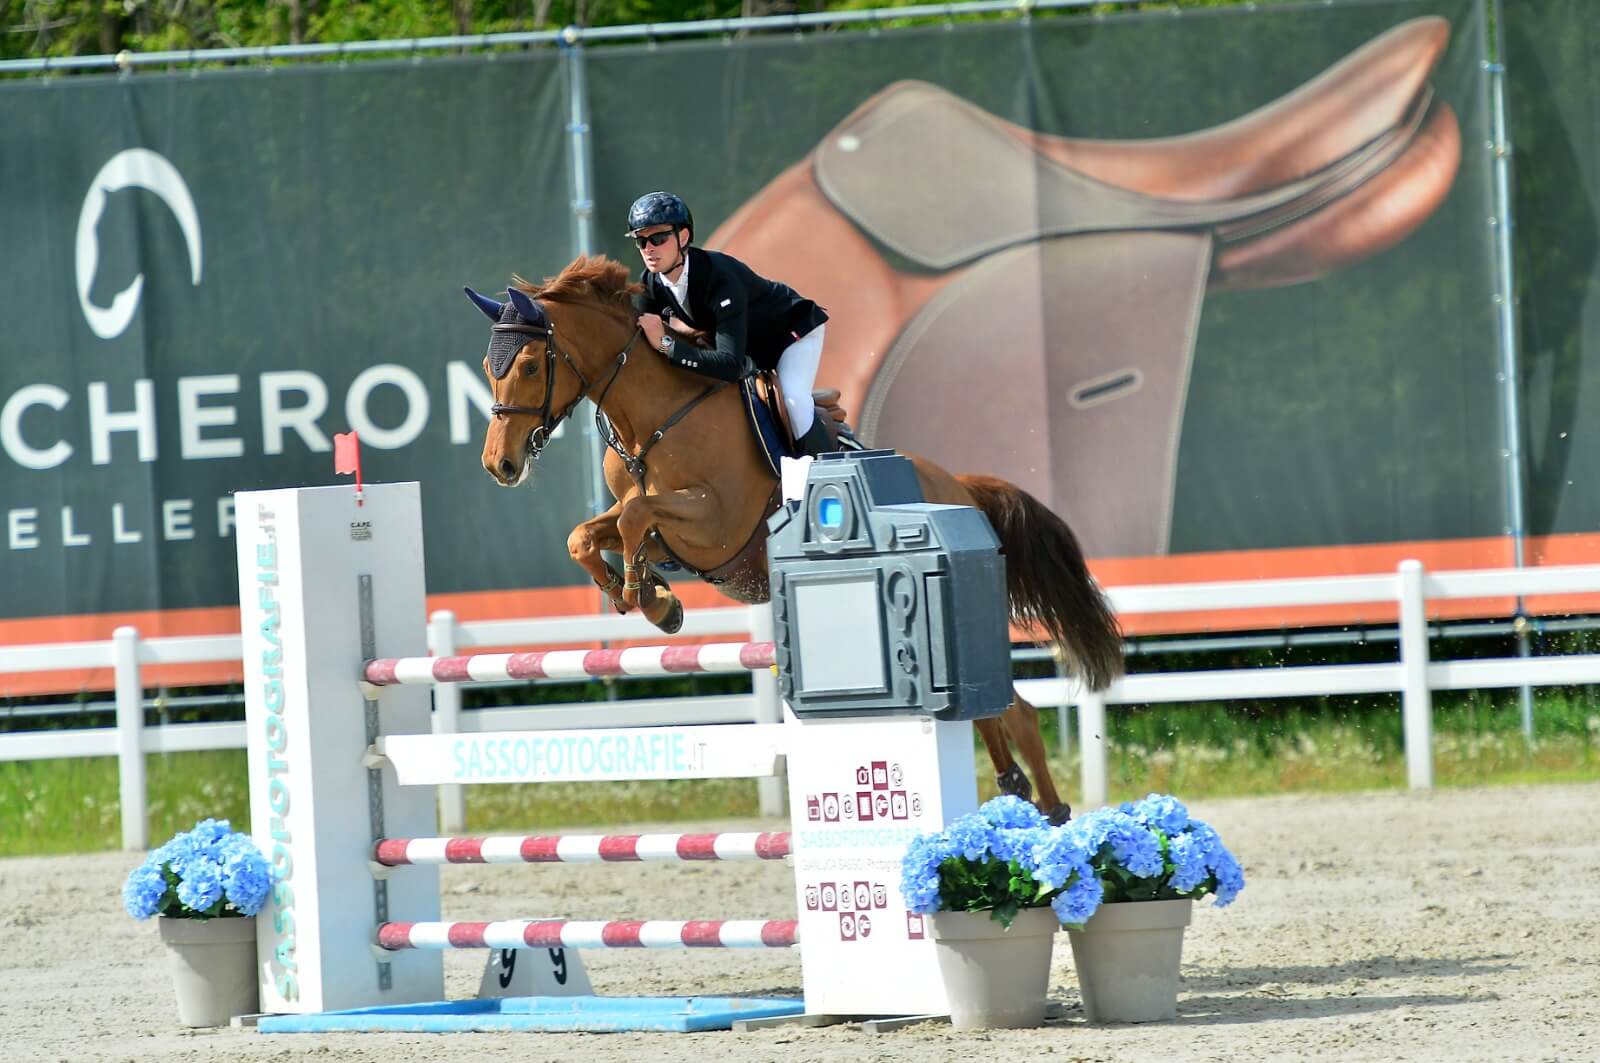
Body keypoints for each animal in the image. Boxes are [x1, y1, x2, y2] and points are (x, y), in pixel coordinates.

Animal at [467, 257, 1120, 819]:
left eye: (529, 366)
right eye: (488, 368)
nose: (500, 465)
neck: (653, 416)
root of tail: (958, 487)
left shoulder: (715, 523)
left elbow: (633, 522)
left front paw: (647, 597)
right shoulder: (660, 523)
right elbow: (588, 535)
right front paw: (652, 596)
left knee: (1018, 714)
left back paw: (1051, 815)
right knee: (994, 717)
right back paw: (1020, 794)